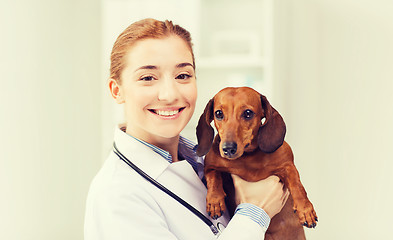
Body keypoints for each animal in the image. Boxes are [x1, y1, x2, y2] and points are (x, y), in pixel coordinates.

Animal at [195, 86, 316, 238]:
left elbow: (297, 185)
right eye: (218, 113)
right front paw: (214, 201)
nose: (228, 149)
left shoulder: (288, 165)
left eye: (248, 113)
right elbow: (213, 177)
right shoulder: (211, 166)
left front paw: (305, 210)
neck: (248, 157)